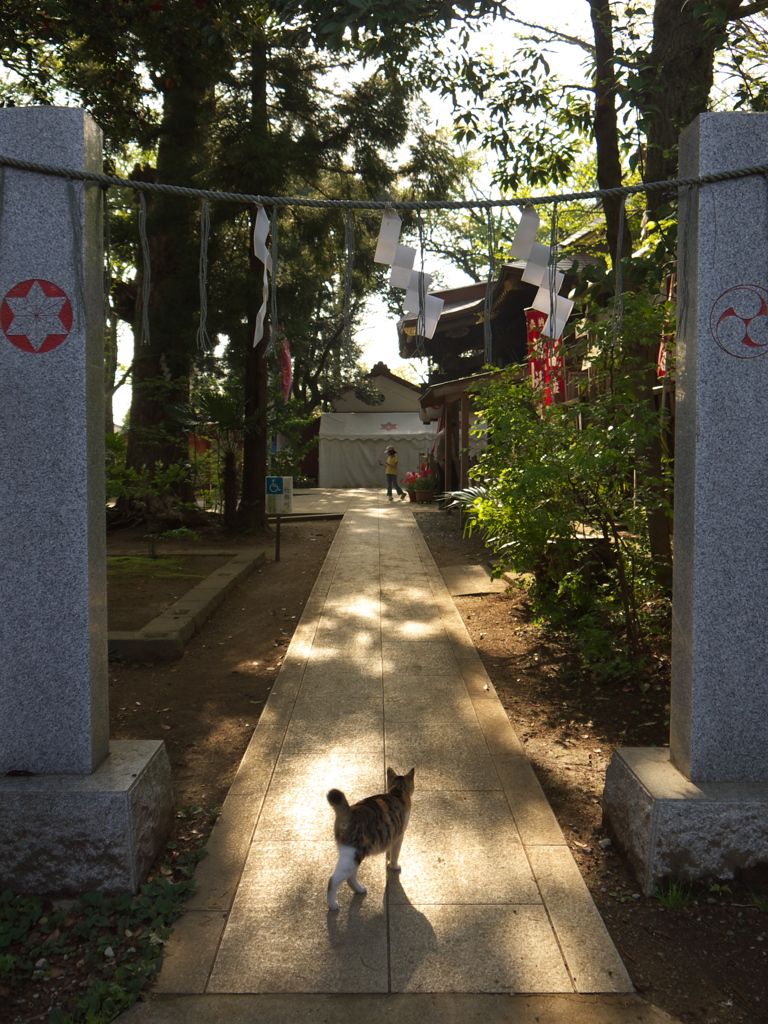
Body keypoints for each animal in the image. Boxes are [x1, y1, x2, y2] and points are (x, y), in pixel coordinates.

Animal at [327, 770, 417, 913]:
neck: (397, 791)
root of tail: (348, 813)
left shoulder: (391, 835)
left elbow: (389, 852)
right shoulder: (399, 836)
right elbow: (395, 854)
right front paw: (394, 866)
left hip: (354, 856)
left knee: (350, 878)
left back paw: (359, 889)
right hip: (353, 854)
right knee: (334, 880)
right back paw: (332, 904)